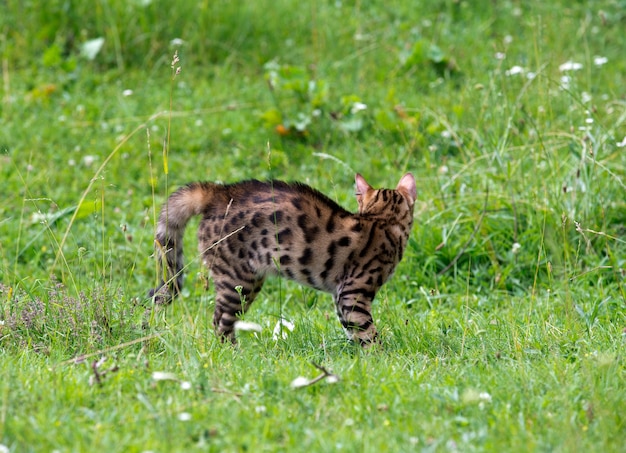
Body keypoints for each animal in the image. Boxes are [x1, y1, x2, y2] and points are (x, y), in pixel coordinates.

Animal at [147, 171, 414, 344]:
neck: (382, 219)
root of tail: (219, 191)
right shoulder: (353, 292)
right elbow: (366, 332)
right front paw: (378, 359)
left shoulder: (340, 296)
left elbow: (350, 330)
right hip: (238, 282)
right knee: (220, 322)